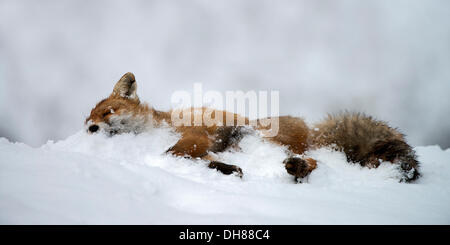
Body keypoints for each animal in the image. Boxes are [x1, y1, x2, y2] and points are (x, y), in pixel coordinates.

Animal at [86, 72, 420, 182]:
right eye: (88, 119)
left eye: (107, 112)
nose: (91, 129)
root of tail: (313, 131)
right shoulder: (202, 149)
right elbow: (205, 161)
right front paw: (227, 169)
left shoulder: (193, 135)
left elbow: (174, 151)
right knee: (317, 162)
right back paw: (297, 168)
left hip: (262, 134)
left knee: (314, 160)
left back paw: (298, 167)